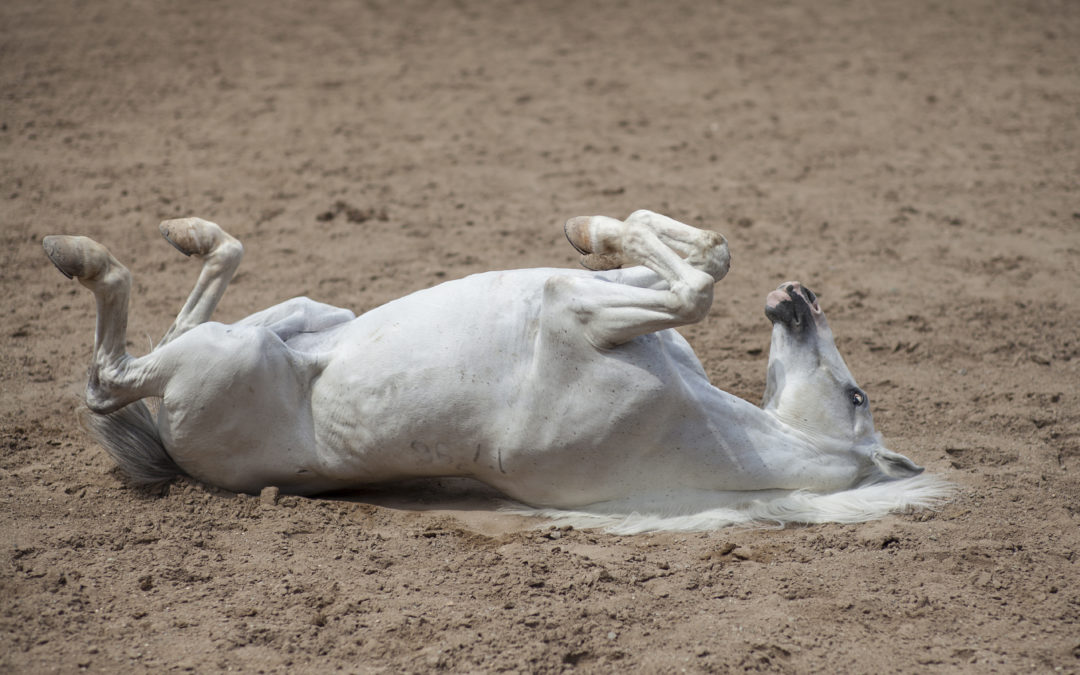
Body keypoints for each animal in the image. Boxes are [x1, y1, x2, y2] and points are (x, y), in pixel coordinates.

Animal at [46, 210, 950, 531]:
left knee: (109, 375)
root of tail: (173, 451)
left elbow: (695, 286)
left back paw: (81, 253)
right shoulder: (603, 300)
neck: (710, 427)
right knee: (192, 301)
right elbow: (700, 259)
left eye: (857, 393)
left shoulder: (580, 312)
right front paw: (593, 226)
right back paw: (188, 231)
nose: (800, 298)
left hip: (223, 357)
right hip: (295, 317)